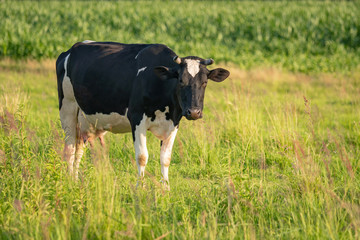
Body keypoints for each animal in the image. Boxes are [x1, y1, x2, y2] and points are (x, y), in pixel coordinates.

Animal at [56, 40, 231, 188]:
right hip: (68, 107)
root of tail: (70, 49)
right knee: (70, 148)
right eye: (181, 80)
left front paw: (166, 188)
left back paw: (75, 179)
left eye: (205, 82)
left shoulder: (174, 122)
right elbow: (142, 157)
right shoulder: (136, 118)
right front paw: (140, 187)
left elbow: (166, 158)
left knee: (79, 148)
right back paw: (69, 181)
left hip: (85, 120)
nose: (194, 112)